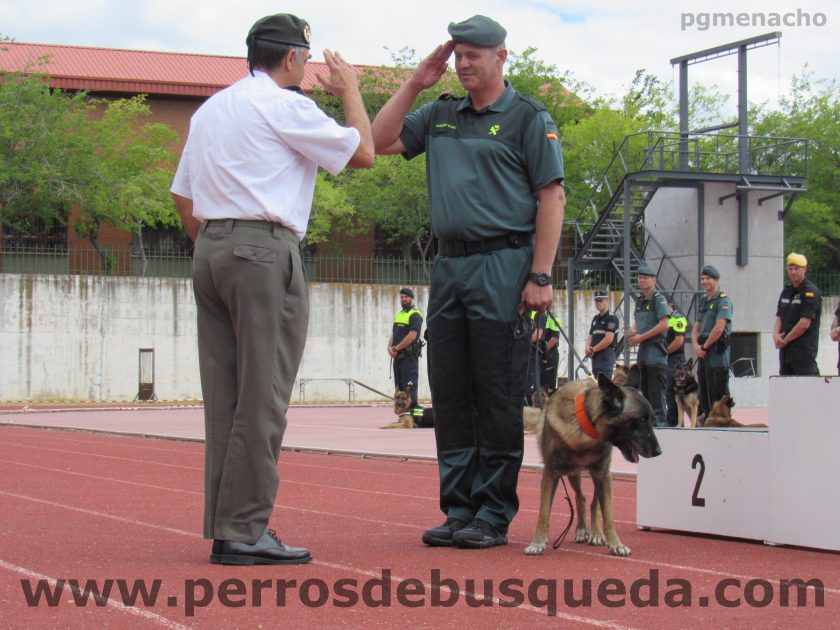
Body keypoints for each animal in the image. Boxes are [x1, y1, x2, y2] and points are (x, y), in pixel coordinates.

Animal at [524, 376, 664, 556]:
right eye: (642, 420)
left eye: (652, 420)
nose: (659, 452)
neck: (586, 429)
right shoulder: (550, 474)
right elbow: (544, 513)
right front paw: (538, 542)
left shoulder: (602, 474)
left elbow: (608, 516)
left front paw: (616, 544)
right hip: (573, 474)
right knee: (581, 497)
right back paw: (581, 529)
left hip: (600, 477)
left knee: (594, 504)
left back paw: (596, 534)